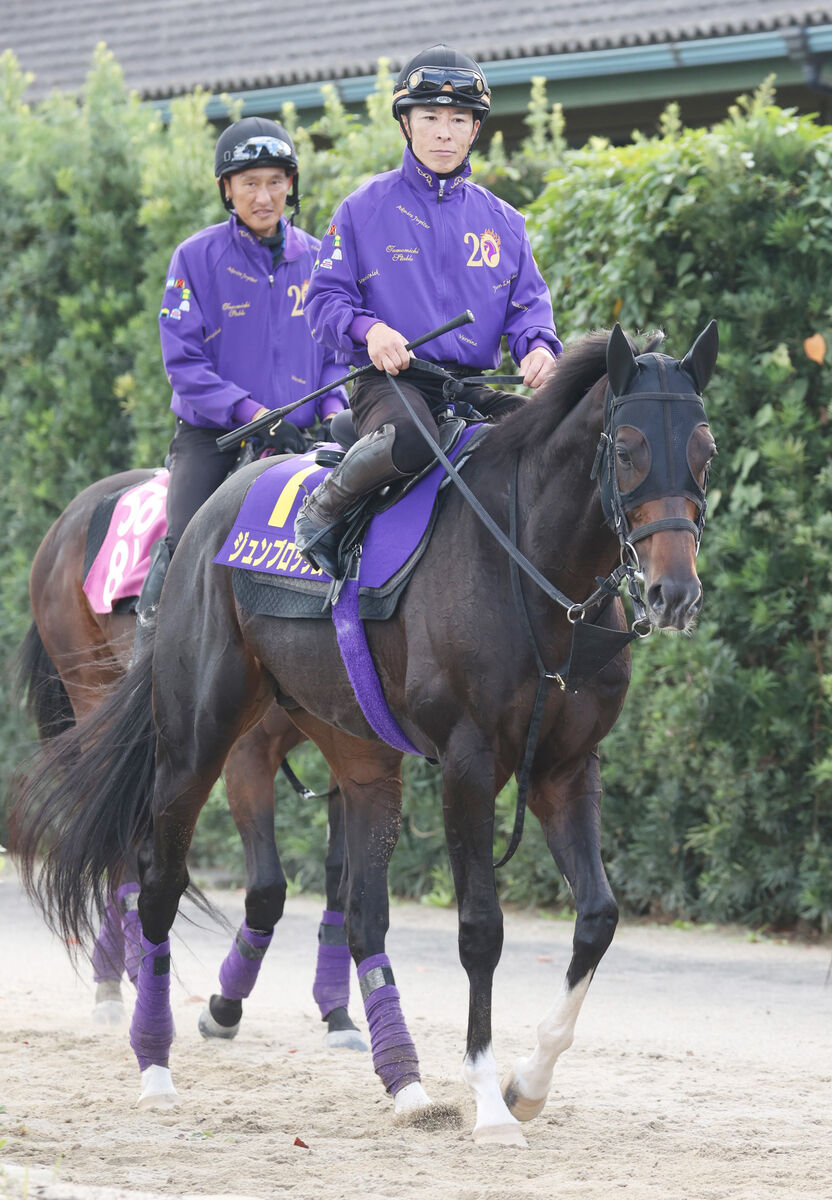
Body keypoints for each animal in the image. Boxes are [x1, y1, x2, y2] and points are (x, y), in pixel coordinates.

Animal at [15, 468, 367, 1051]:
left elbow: (341, 879)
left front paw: (337, 1014)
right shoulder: (246, 756)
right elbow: (267, 888)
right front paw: (224, 1009)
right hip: (94, 698)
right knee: (117, 843)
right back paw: (133, 979)